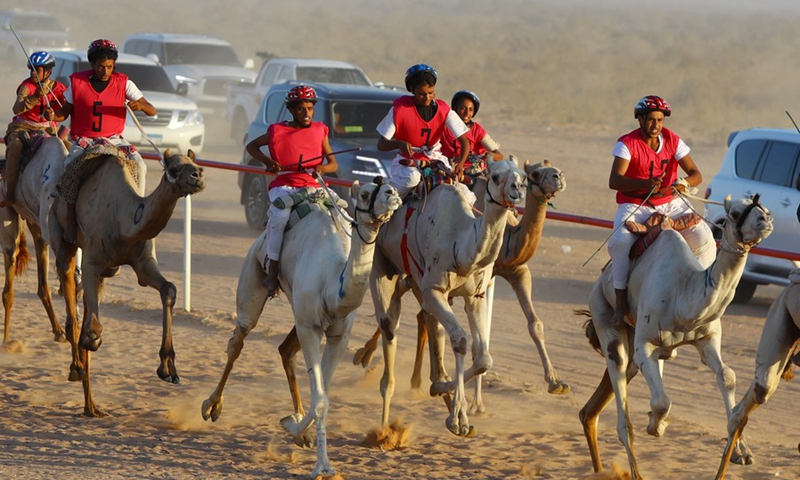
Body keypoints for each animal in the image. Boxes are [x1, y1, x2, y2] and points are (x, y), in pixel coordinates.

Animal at [47, 147, 205, 417]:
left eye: (195, 164)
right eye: (174, 169)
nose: (198, 176)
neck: (126, 221)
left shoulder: (142, 262)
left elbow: (169, 289)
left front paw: (168, 369)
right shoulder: (91, 262)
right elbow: (92, 330)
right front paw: (86, 347)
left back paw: (91, 406)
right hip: (59, 232)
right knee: (70, 294)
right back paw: (77, 368)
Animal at [201, 179, 401, 478]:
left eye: (387, 184)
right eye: (365, 193)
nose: (393, 194)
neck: (333, 283)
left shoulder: (338, 335)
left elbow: (324, 395)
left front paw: (295, 427)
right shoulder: (310, 328)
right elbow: (320, 401)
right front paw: (322, 466)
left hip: (298, 313)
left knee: (285, 350)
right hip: (253, 277)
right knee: (238, 339)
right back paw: (212, 405)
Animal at [352, 159, 570, 414]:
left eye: (524, 177)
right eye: (535, 173)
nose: (559, 176)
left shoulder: (512, 274)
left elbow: (532, 325)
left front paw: (556, 382)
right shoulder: (464, 280)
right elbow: (470, 341)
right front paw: (470, 404)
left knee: (420, 318)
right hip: (391, 263)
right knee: (395, 317)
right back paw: (365, 356)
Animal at [578, 194, 774, 479]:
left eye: (764, 208)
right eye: (735, 213)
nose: (765, 219)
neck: (684, 295)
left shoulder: (706, 339)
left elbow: (727, 375)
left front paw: (741, 452)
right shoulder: (645, 344)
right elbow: (661, 402)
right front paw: (655, 425)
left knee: (592, 409)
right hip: (604, 315)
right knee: (622, 402)